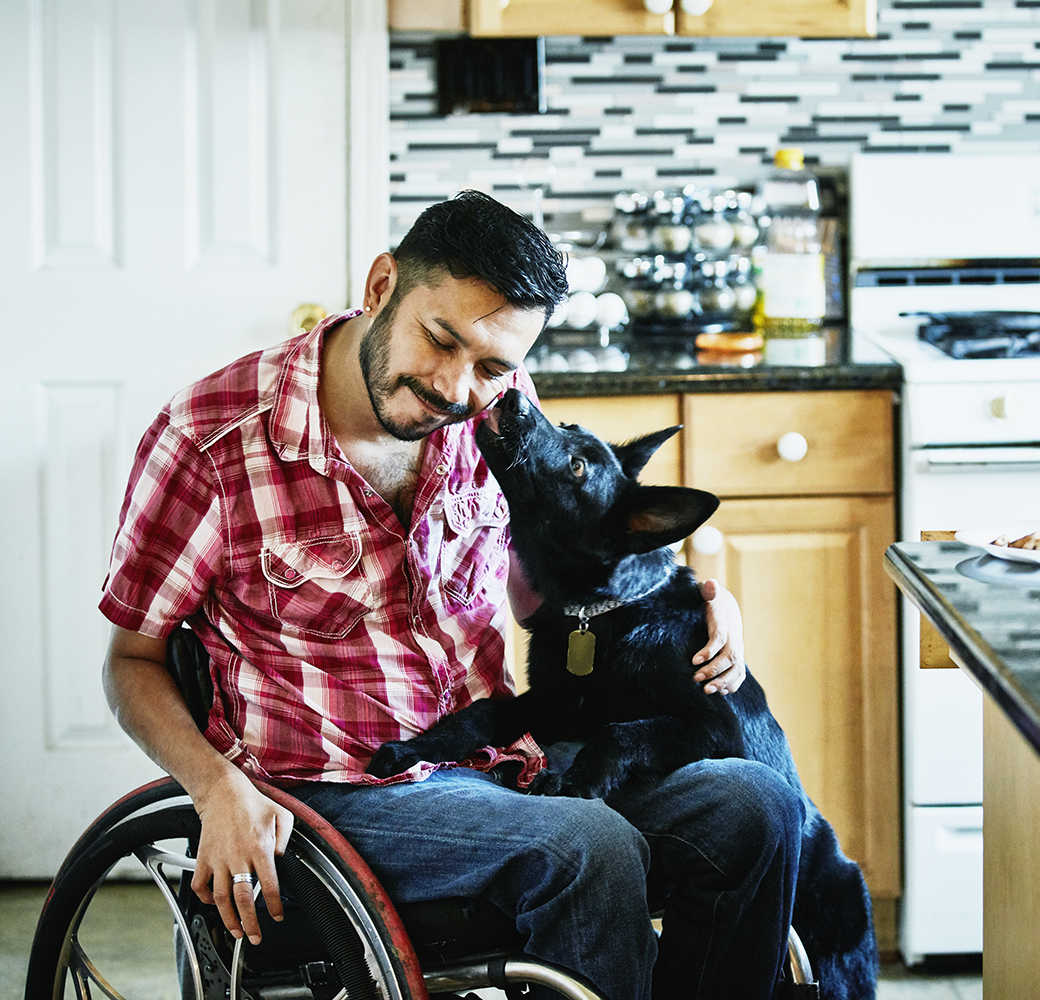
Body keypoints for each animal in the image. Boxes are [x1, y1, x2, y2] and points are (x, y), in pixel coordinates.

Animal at [370, 386, 873, 993]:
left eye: (578, 467)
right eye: (566, 427)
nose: (512, 396)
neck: (603, 615)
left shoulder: (712, 726)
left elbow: (621, 731)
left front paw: (572, 783)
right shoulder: (553, 707)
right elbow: (483, 713)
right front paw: (414, 750)